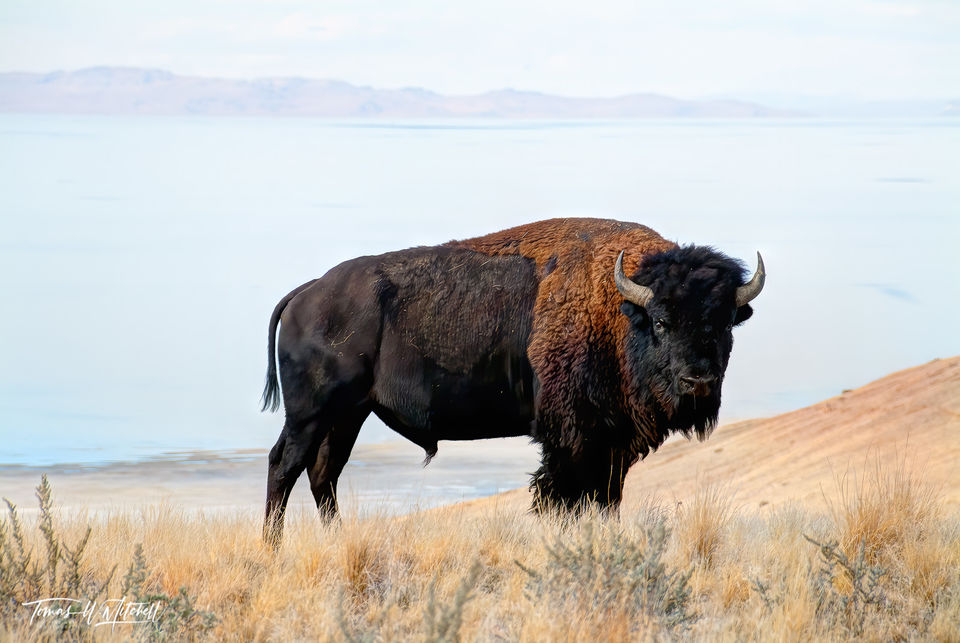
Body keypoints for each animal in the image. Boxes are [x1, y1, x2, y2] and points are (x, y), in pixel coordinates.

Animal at [260, 218, 764, 543]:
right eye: (661, 321)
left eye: (723, 323)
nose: (697, 380)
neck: (619, 312)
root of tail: (307, 293)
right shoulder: (571, 440)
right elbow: (562, 497)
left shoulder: (611, 446)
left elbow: (606, 500)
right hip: (311, 413)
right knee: (284, 466)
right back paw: (272, 546)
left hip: (348, 414)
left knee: (323, 473)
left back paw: (335, 540)